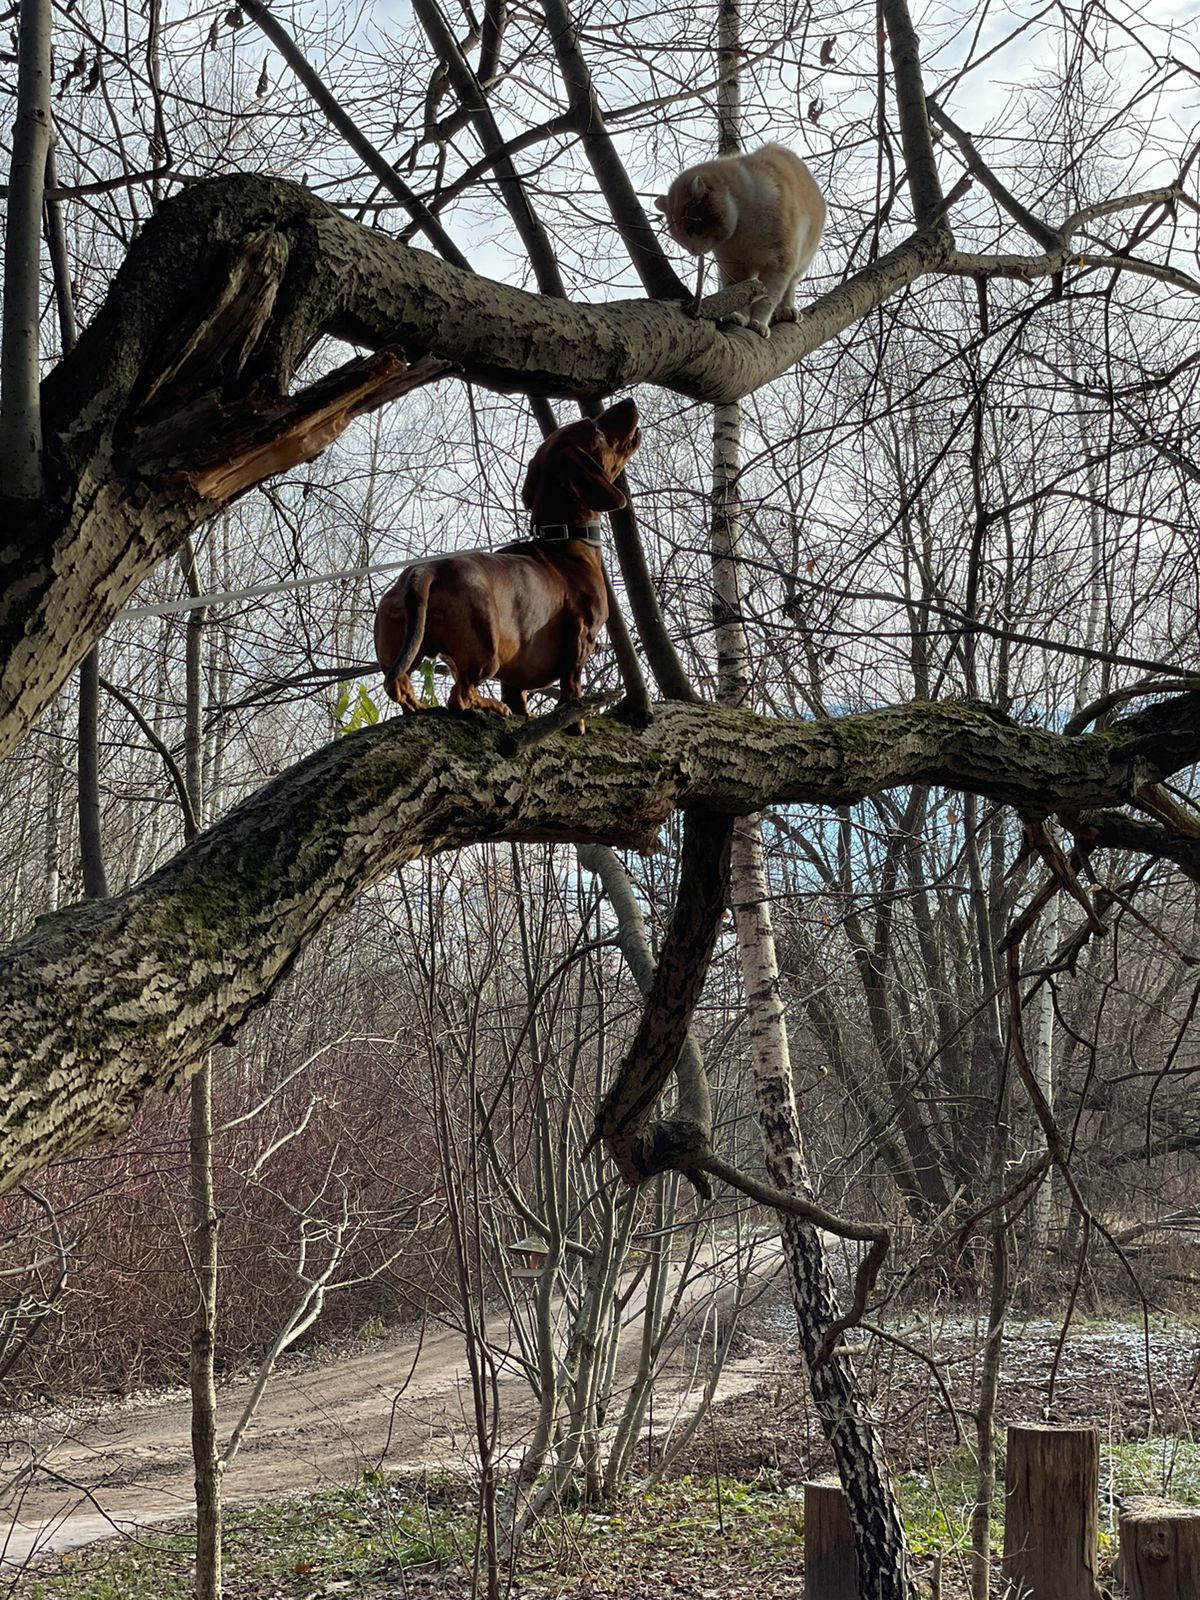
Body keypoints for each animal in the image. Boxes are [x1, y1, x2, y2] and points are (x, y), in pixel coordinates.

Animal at [659, 144, 825, 337]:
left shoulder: (779, 263)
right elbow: (739, 294)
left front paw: (758, 322)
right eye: (679, 239)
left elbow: (768, 298)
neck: (742, 230)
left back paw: (787, 310)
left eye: (690, 229)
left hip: (802, 259)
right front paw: (738, 316)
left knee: (790, 285)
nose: (692, 251)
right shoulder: (733, 266)